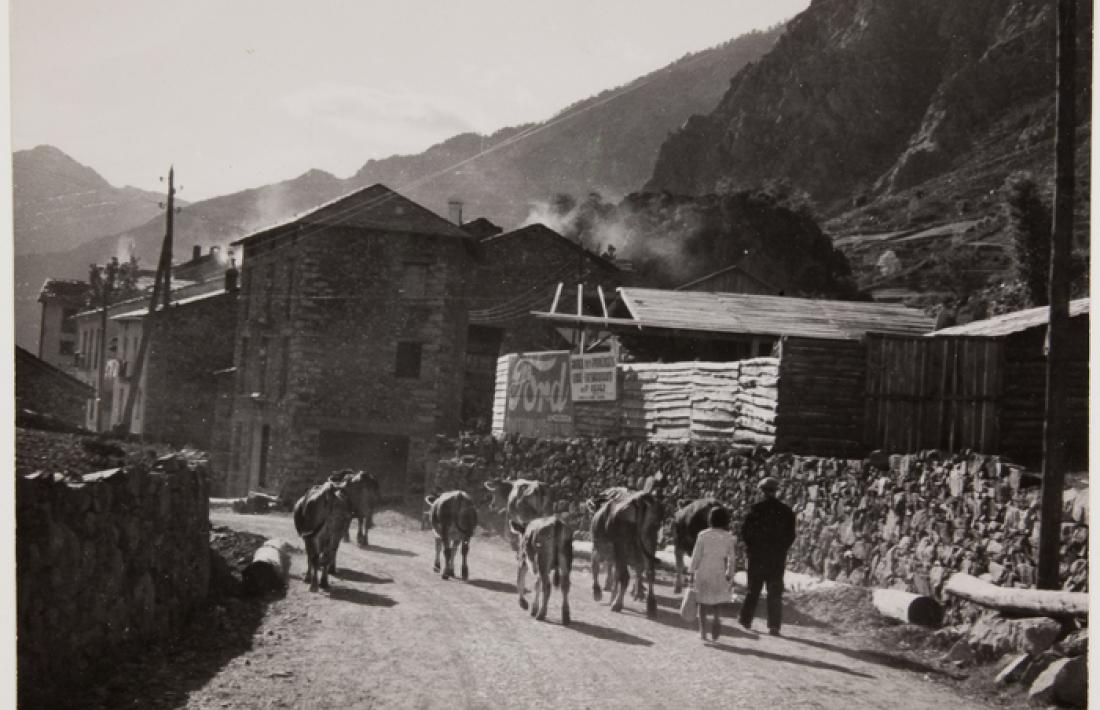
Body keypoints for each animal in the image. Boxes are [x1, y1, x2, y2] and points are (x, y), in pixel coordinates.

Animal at [589, 473, 664, 616]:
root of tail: (640, 499)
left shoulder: (598, 548)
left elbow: (595, 567)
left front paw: (597, 593)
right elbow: (615, 575)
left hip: (621, 546)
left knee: (625, 576)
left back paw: (617, 604)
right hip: (650, 542)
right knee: (650, 573)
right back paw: (651, 605)